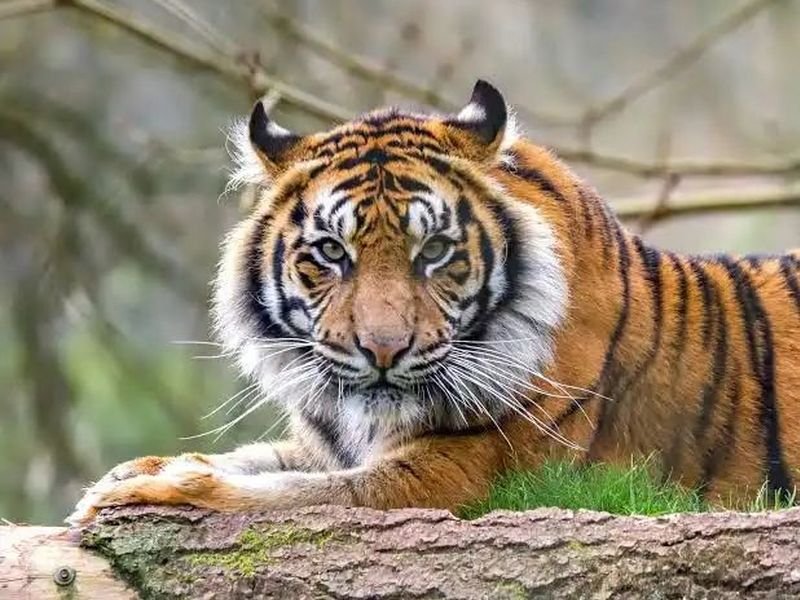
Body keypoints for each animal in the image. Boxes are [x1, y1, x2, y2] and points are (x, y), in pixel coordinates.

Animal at [67, 80, 800, 526]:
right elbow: (261, 458)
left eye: (436, 251)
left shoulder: (459, 474)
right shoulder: (333, 445)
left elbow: (294, 496)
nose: (383, 350)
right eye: (332, 252)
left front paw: (151, 487)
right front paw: (127, 472)